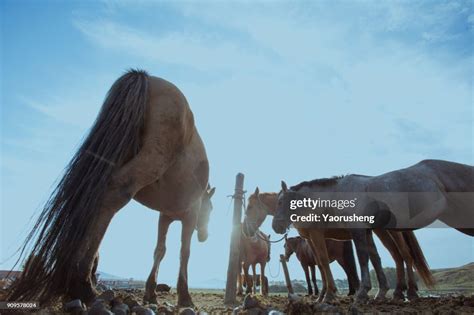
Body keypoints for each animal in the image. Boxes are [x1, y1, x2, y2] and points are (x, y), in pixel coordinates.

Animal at [7, 69, 213, 308]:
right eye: (210, 210)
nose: (204, 236)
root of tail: (146, 78)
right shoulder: (188, 216)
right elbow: (184, 252)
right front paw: (184, 297)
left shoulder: (165, 217)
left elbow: (160, 251)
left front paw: (151, 293)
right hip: (148, 162)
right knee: (111, 196)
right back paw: (82, 284)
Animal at [272, 162, 472, 304]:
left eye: (281, 202)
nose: (276, 227)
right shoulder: (354, 233)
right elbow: (368, 258)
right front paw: (324, 295)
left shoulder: (327, 234)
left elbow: (333, 261)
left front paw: (332, 295)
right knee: (397, 257)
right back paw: (400, 292)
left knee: (404, 256)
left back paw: (408, 291)